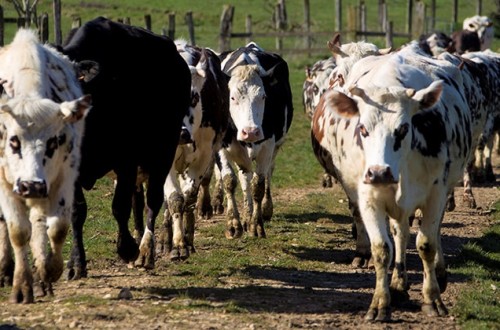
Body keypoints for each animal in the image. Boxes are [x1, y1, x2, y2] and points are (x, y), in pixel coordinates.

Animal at [60, 16, 189, 278]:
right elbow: (77, 211)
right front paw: (76, 263)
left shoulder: (126, 160)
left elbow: (120, 206)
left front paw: (127, 248)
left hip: (163, 151)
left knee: (153, 200)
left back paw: (146, 251)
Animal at [312, 42, 492, 320]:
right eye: (362, 128)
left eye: (404, 128)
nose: (379, 173)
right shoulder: (368, 197)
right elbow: (381, 248)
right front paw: (380, 303)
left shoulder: (436, 194)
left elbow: (427, 243)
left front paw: (433, 299)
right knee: (400, 231)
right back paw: (398, 283)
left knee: (428, 232)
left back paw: (437, 274)